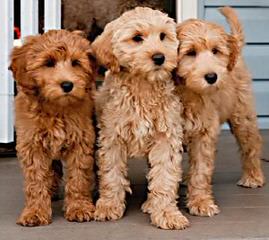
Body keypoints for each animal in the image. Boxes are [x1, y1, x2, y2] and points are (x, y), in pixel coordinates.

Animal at [91, 6, 187, 230]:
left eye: (163, 36)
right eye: (137, 38)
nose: (159, 57)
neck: (144, 86)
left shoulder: (166, 138)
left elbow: (164, 176)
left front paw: (167, 213)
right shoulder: (112, 138)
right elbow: (111, 174)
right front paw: (108, 206)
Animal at [174, 6, 264, 218]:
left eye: (216, 51)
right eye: (190, 53)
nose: (212, 77)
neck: (188, 92)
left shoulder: (204, 132)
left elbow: (201, 170)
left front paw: (201, 202)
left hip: (242, 116)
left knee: (252, 144)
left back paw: (253, 176)